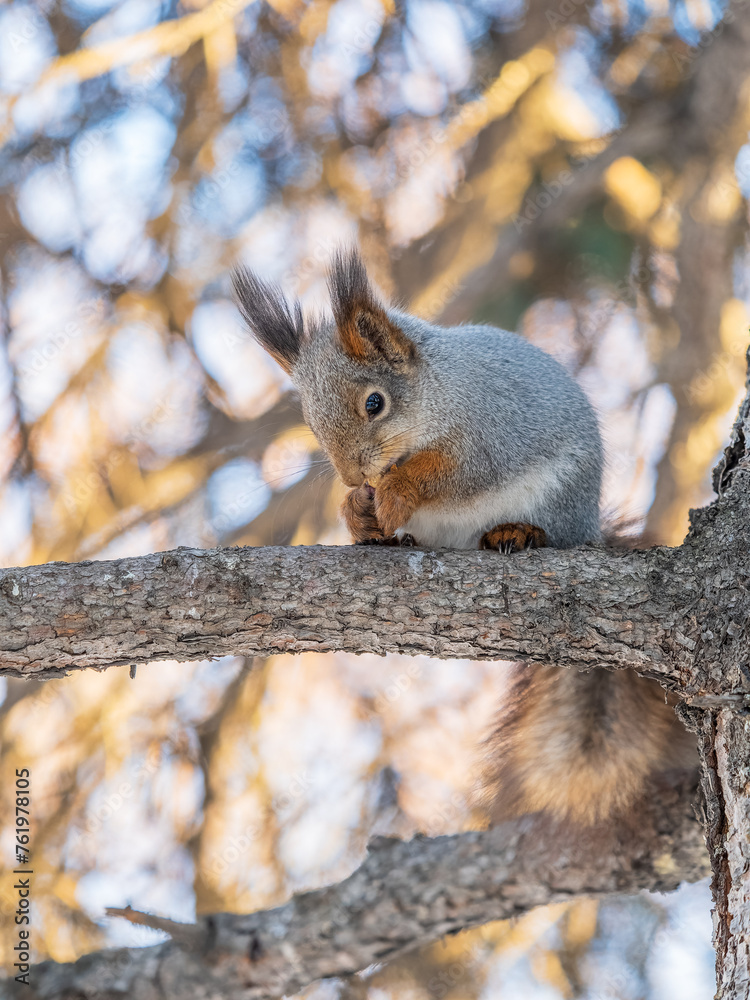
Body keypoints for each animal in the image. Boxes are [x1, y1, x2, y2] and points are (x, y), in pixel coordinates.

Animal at [232, 248, 696, 827]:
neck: (437, 394)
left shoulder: (489, 433)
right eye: (311, 424)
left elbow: (449, 474)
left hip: (559, 502)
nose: (351, 475)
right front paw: (357, 510)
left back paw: (518, 532)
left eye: (374, 404)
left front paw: (394, 492)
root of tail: (589, 528)